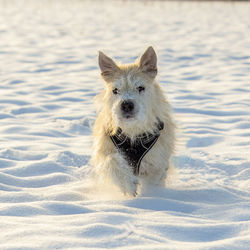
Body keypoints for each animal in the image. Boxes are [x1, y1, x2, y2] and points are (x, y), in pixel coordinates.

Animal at [91, 46, 175, 195]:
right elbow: (111, 160)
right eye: (115, 90)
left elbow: (153, 181)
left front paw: (152, 197)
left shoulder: (157, 162)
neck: (132, 130)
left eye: (140, 88)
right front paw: (128, 184)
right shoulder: (105, 149)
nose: (126, 105)